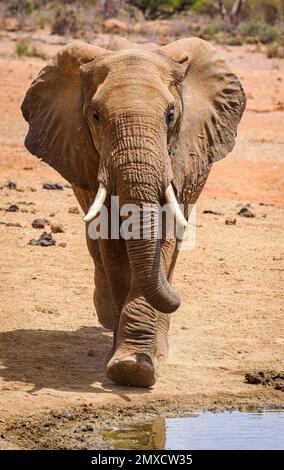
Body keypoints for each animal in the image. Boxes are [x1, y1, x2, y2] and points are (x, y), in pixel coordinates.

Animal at [21, 36, 245, 388]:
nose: (179, 297)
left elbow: (163, 237)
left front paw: (136, 368)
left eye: (171, 114)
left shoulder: (181, 153)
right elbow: (112, 242)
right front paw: (126, 364)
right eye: (95, 115)